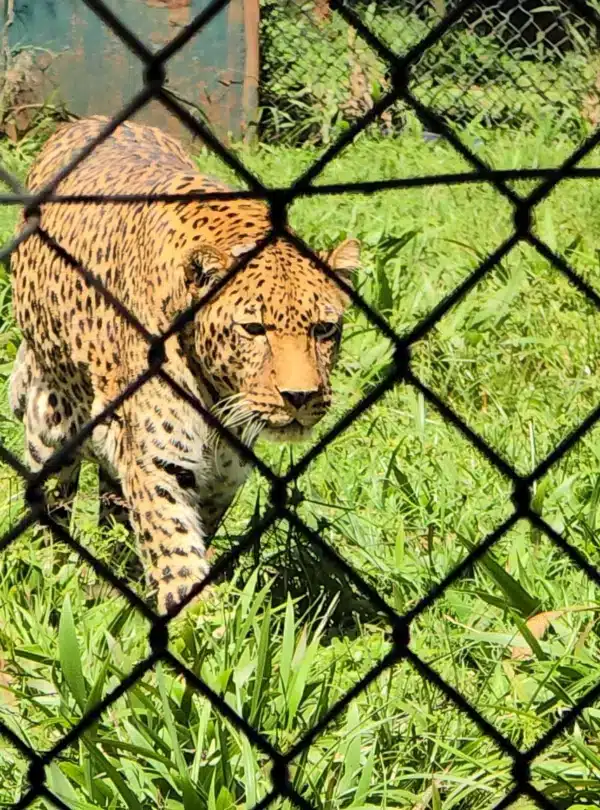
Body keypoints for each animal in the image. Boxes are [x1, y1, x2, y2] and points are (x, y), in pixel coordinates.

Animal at [8, 116, 360, 615]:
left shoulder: (223, 471)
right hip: (51, 416)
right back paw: (54, 566)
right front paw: (199, 621)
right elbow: (174, 544)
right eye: (253, 329)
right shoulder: (159, 459)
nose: (300, 397)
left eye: (324, 330)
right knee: (53, 494)